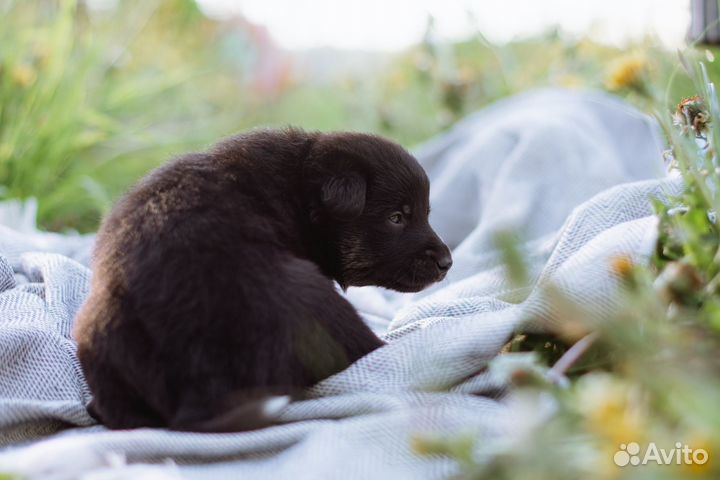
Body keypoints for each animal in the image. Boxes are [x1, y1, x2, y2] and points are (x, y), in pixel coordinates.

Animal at [73, 127, 450, 432]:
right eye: (396, 217)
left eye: (426, 213)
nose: (447, 262)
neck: (300, 187)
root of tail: (199, 387)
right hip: (309, 295)